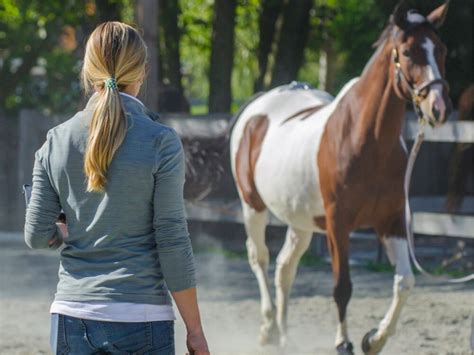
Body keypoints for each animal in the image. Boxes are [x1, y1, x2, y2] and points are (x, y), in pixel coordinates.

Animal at [230, 2, 452, 354]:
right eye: (407, 51)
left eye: (440, 49)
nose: (438, 108)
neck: (366, 140)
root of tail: (258, 106)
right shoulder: (338, 225)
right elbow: (342, 286)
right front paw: (343, 343)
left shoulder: (392, 221)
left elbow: (405, 282)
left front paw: (373, 339)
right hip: (252, 206)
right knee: (260, 258)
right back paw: (268, 329)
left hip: (300, 220)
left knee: (285, 268)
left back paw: (286, 336)